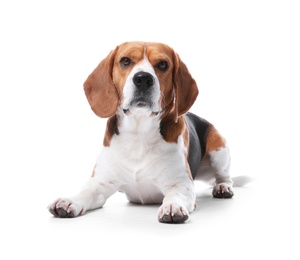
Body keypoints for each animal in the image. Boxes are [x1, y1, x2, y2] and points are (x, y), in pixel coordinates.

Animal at [48, 41, 233, 223]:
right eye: (125, 61)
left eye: (163, 64)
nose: (143, 78)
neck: (138, 133)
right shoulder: (100, 182)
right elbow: (85, 192)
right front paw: (70, 201)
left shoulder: (181, 184)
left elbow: (175, 195)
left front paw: (172, 206)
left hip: (219, 151)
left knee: (224, 176)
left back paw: (223, 187)